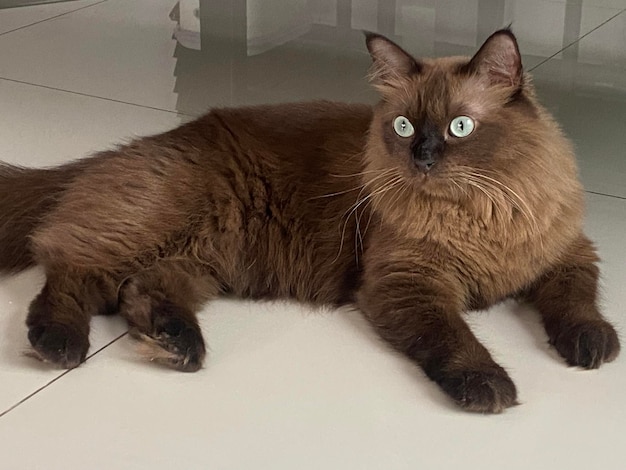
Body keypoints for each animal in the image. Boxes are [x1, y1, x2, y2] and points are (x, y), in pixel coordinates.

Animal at [0, 29, 616, 414]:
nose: (422, 157)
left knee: (140, 291)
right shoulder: (408, 283)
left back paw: (175, 344)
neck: (475, 216)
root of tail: (116, 152)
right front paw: (487, 384)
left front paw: (592, 345)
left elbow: (576, 301)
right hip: (151, 230)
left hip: (200, 261)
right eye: (403, 126)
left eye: (459, 127)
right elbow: (453, 337)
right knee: (72, 272)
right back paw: (61, 344)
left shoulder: (567, 255)